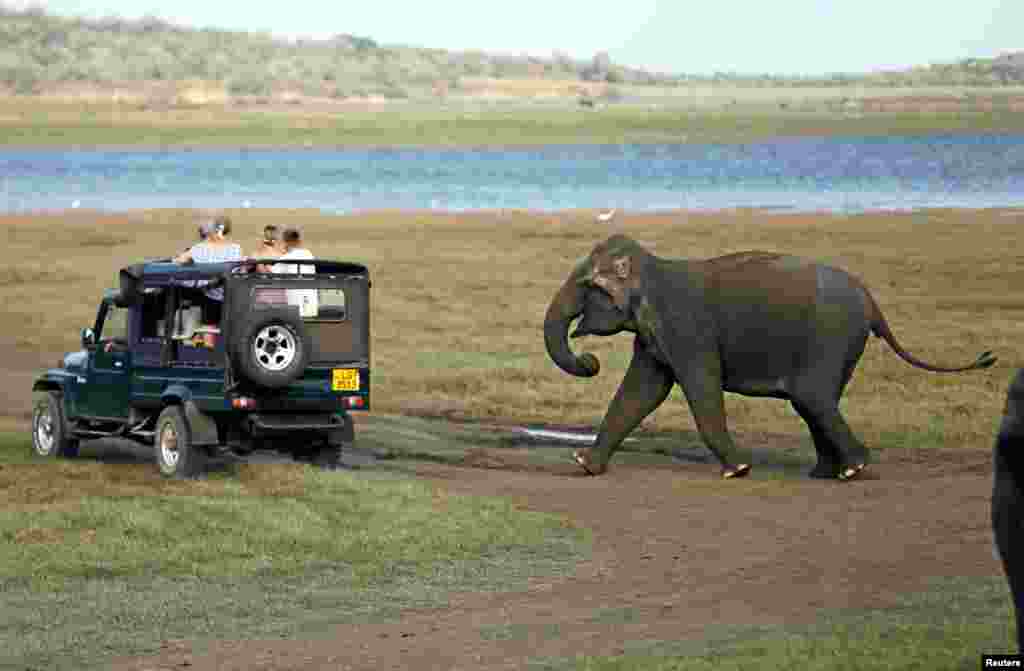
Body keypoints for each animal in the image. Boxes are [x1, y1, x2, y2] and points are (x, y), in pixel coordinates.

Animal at [543, 235, 996, 481]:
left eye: (586, 285)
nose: (589, 361)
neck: (652, 267)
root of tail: (872, 302)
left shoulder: (688, 331)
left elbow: (699, 388)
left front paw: (737, 470)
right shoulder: (655, 336)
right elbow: (641, 392)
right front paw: (584, 464)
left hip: (831, 338)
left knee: (813, 397)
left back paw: (854, 469)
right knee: (815, 401)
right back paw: (828, 473)